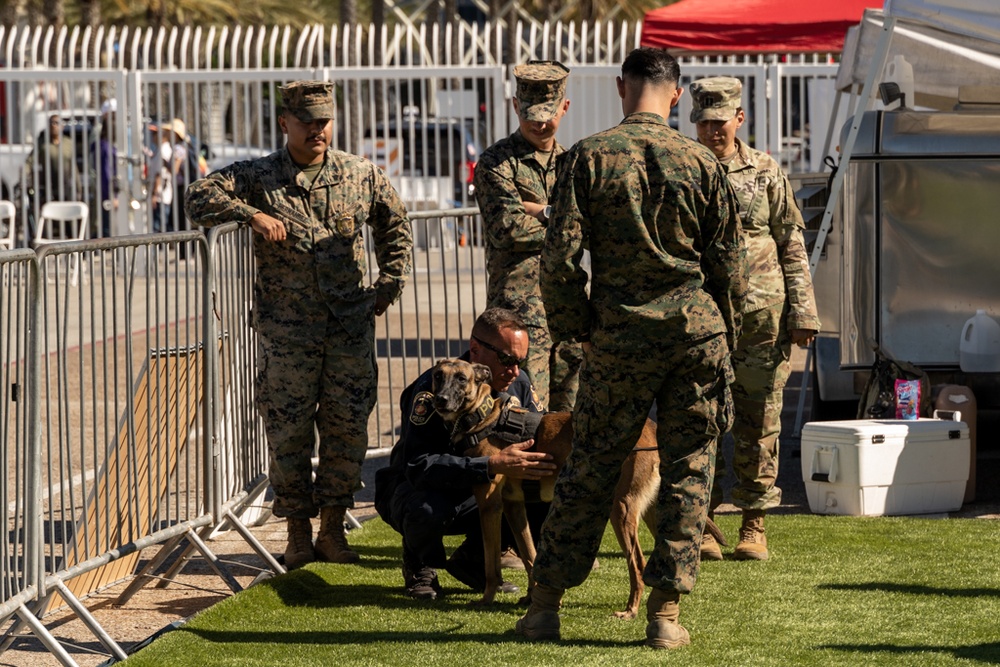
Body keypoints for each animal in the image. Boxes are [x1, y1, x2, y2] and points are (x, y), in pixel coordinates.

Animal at [430, 358, 728, 620]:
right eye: (437, 376)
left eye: (461, 378)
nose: (440, 400)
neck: (483, 418)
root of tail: (652, 430)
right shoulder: (515, 507)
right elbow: (530, 555)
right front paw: (532, 597)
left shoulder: (490, 505)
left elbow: (492, 563)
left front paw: (488, 598)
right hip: (653, 512)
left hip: (620, 509)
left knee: (637, 564)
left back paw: (631, 610)